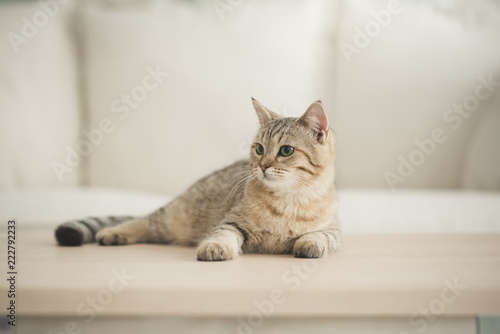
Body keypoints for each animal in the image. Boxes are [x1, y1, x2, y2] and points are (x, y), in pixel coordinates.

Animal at [56, 98, 342, 260]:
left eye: (286, 151)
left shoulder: (334, 230)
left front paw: (309, 243)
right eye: (259, 148)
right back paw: (114, 232)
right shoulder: (232, 220)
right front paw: (215, 246)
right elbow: (223, 233)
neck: (288, 200)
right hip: (173, 216)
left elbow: (321, 236)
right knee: (143, 221)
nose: (262, 166)